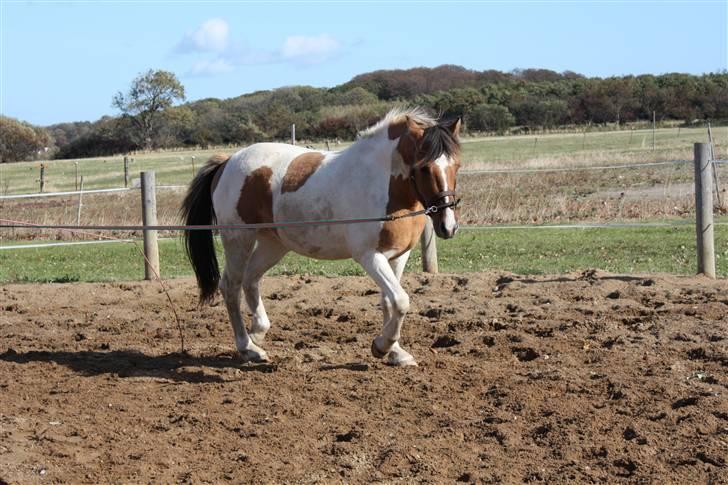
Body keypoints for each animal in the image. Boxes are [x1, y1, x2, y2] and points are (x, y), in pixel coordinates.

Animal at [181, 108, 460, 364]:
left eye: (456, 165)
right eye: (424, 168)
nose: (448, 226)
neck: (383, 183)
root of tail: (227, 161)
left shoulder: (398, 256)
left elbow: (389, 301)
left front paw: (396, 353)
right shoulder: (369, 256)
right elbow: (401, 300)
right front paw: (381, 346)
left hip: (273, 244)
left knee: (251, 280)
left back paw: (257, 333)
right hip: (239, 239)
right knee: (231, 286)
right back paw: (247, 347)